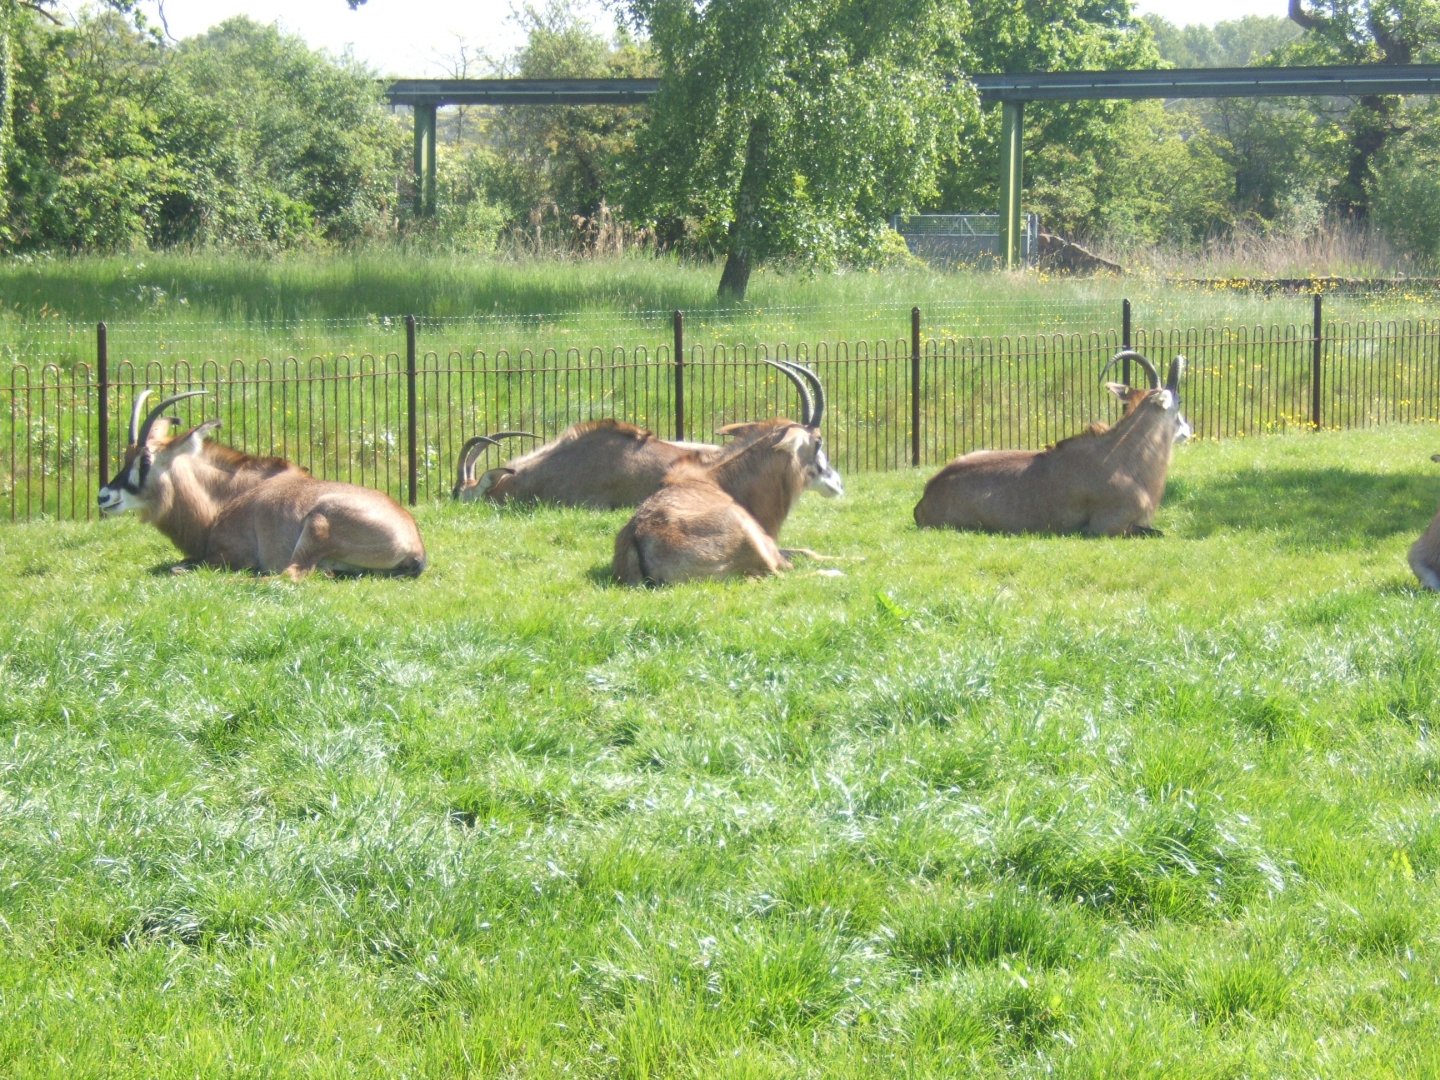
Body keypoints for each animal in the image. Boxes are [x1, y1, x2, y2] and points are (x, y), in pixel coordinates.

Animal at [98, 390, 426, 580]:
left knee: (288, 576)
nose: (104, 495)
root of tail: (415, 544)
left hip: (318, 522)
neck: (226, 496)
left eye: (145, 462)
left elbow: (180, 565)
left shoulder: (226, 555)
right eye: (126, 457)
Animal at [612, 363, 843, 585]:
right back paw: (834, 573)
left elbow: (806, 551)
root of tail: (639, 541)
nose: (838, 483)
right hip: (749, 534)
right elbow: (807, 553)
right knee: (781, 575)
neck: (720, 481)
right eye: (818, 441)